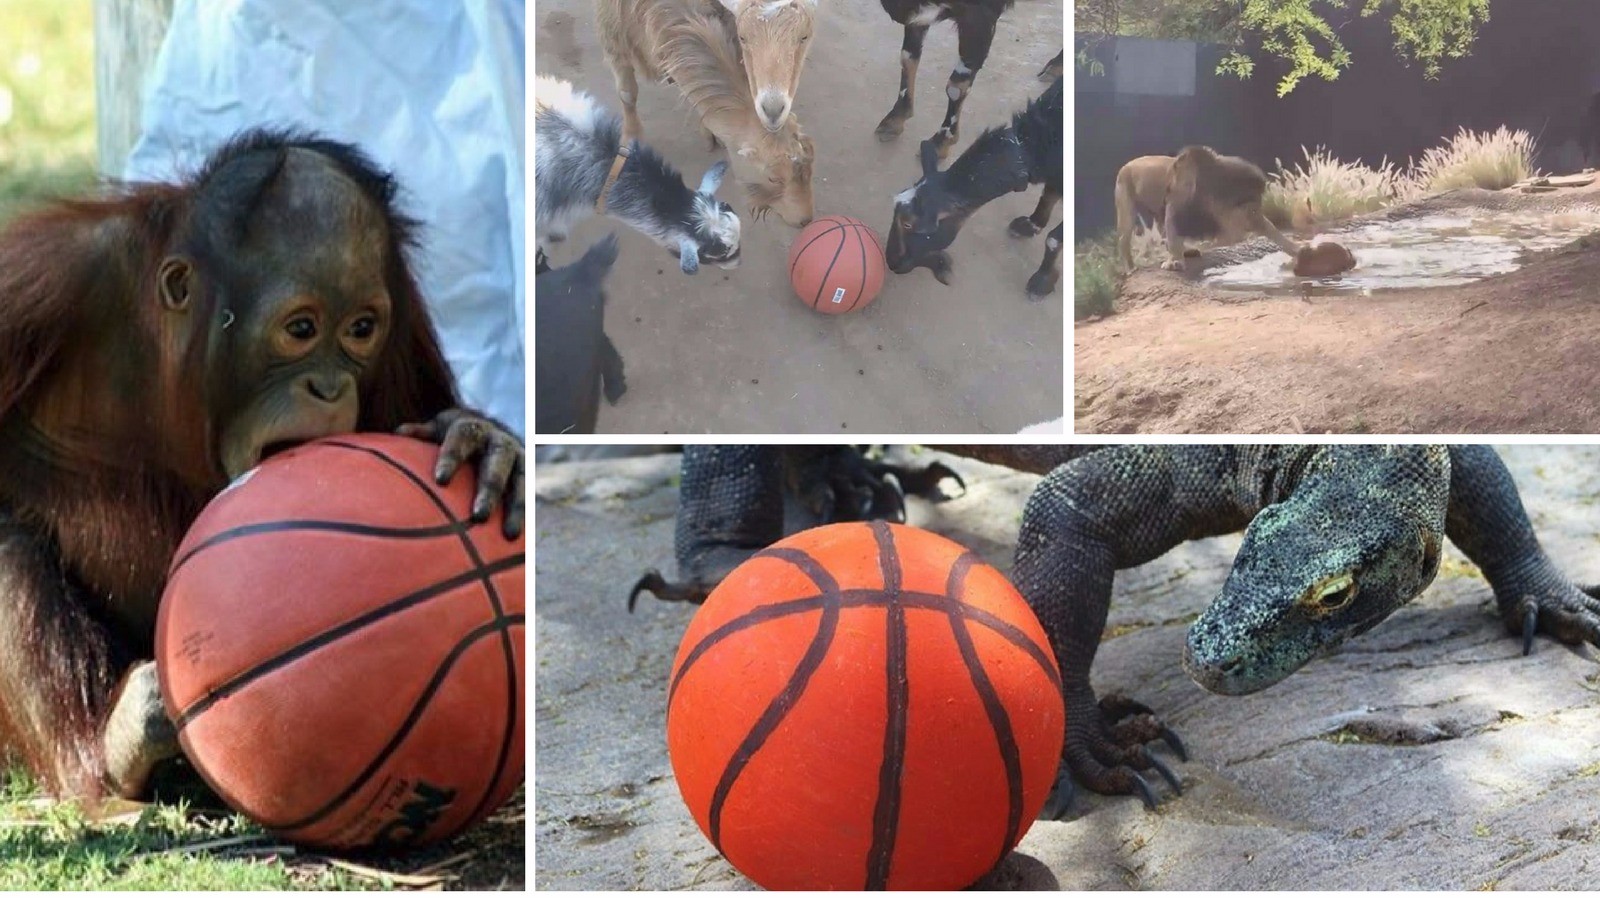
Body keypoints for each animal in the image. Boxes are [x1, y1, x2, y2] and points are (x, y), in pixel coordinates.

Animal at [598, 0, 819, 225]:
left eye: (810, 166)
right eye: (773, 178)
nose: (805, 220)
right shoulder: (613, 32)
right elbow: (627, 94)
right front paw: (631, 139)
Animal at [870, 0, 1056, 159]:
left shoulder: (981, 16)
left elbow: (956, 86)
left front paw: (941, 141)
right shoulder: (916, 14)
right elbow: (908, 58)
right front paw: (896, 117)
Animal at [889, 75, 1062, 299]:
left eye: (908, 223)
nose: (892, 262)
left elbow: (1054, 240)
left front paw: (1042, 281)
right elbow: (1049, 195)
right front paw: (1031, 224)